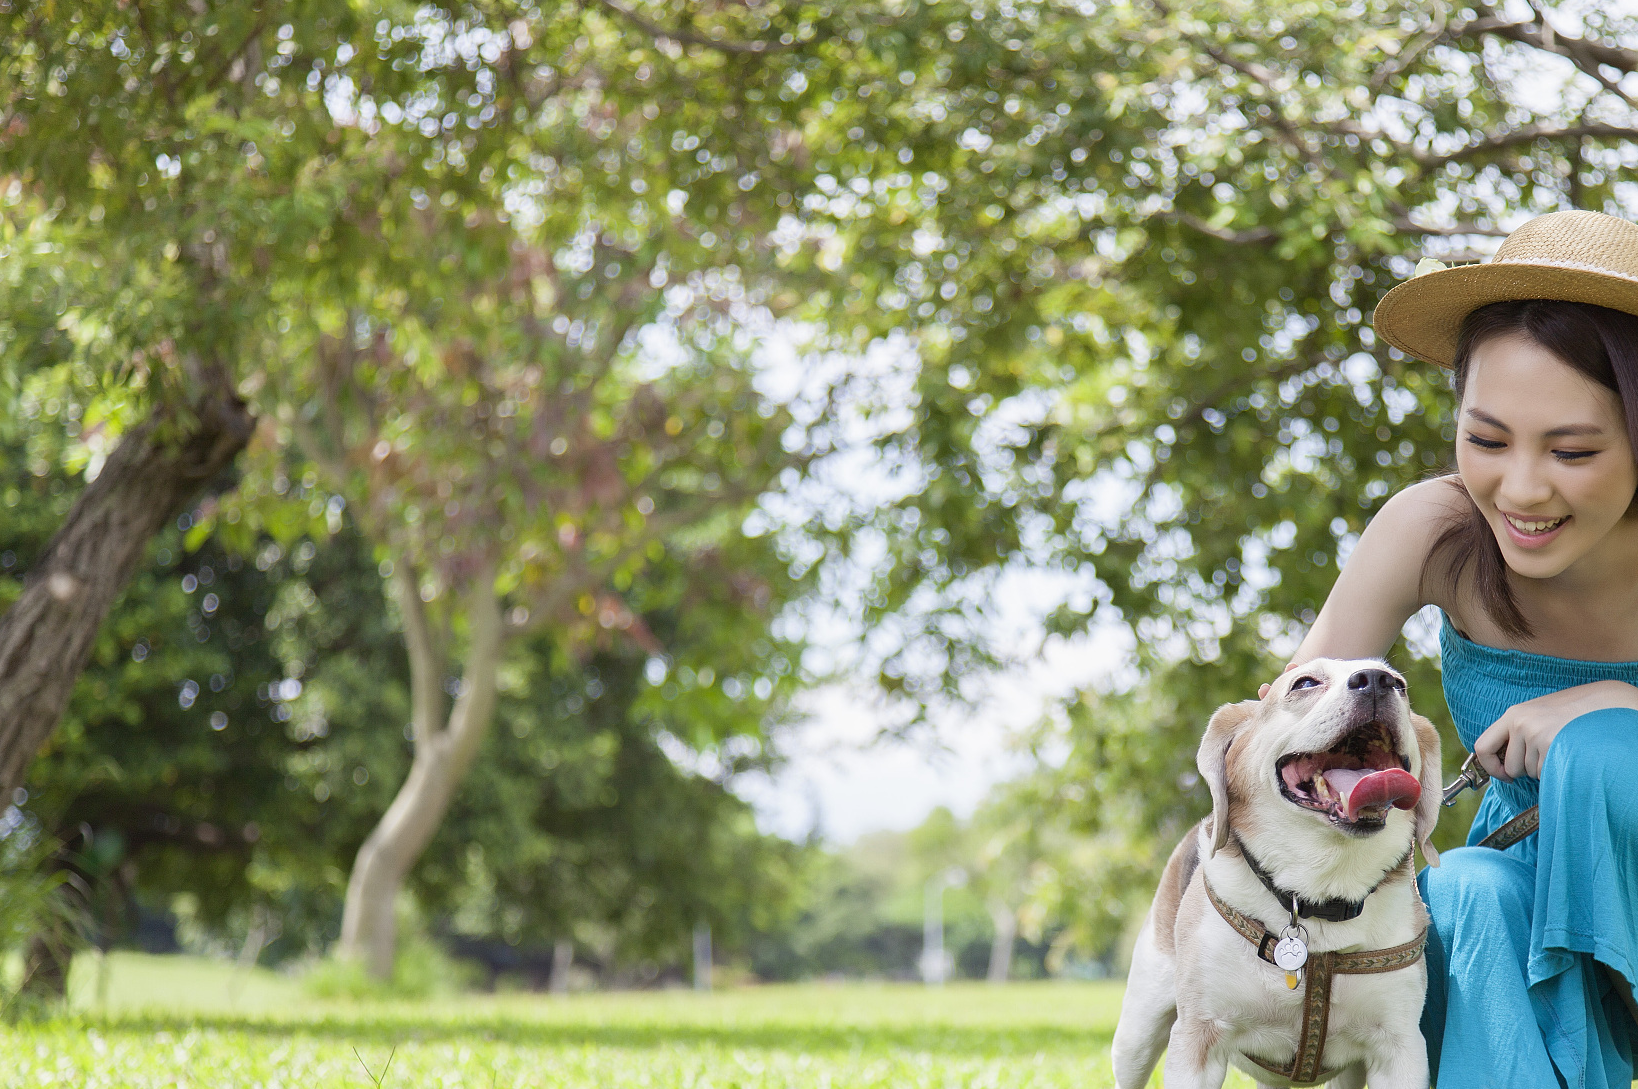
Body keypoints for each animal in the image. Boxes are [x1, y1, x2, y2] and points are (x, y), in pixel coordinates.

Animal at [1107, 658, 1441, 1087]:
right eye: (1305, 683)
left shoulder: (1400, 1050)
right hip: (1138, 1033)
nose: (1377, 681)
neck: (1316, 894)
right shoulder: (1198, 1039)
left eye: (1400, 685)